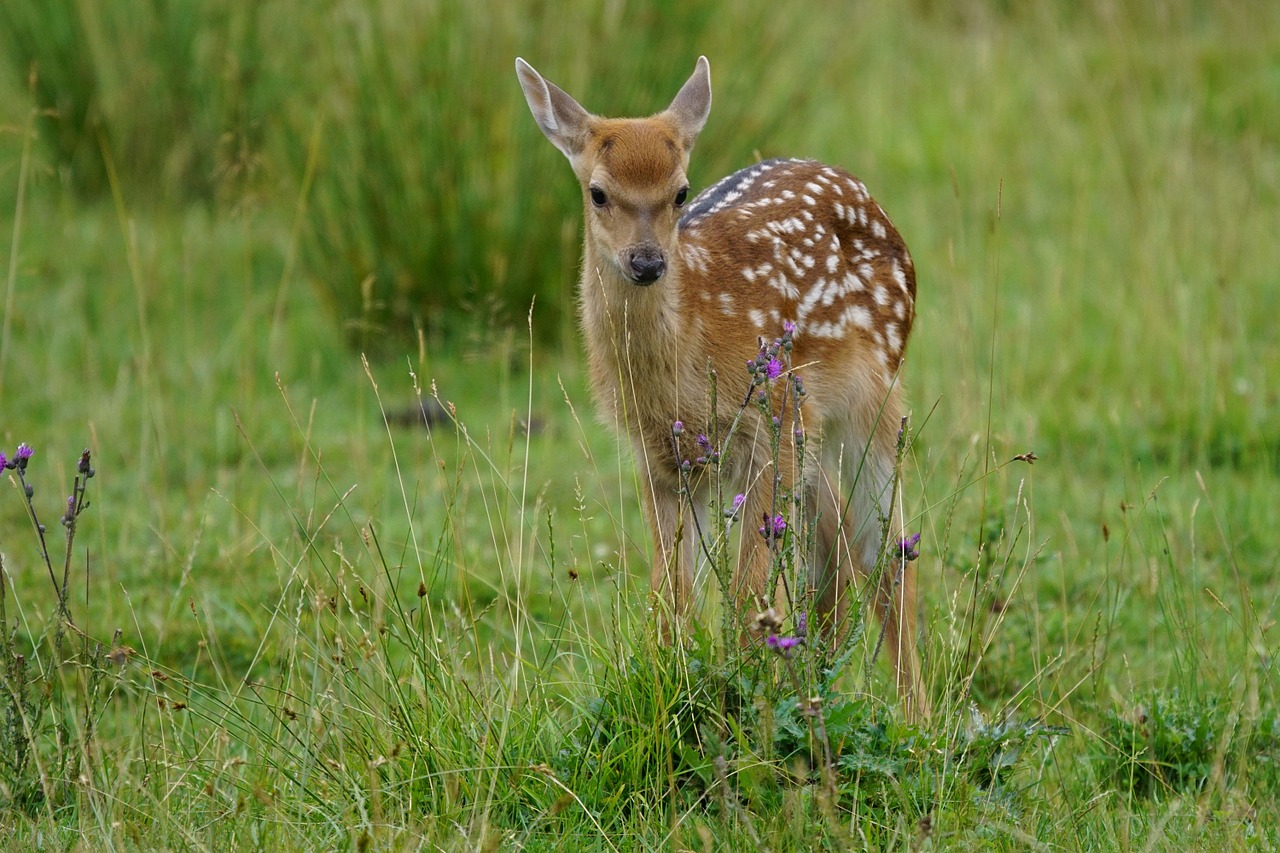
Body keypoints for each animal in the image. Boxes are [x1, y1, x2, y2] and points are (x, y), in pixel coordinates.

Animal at [519, 56, 931, 712]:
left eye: (681, 192)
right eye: (598, 192)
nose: (647, 262)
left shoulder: (774, 424)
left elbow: (746, 594)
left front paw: (740, 699)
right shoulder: (660, 456)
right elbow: (671, 597)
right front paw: (675, 690)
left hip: (874, 399)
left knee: (889, 554)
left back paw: (917, 718)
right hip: (815, 436)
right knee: (836, 547)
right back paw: (821, 681)